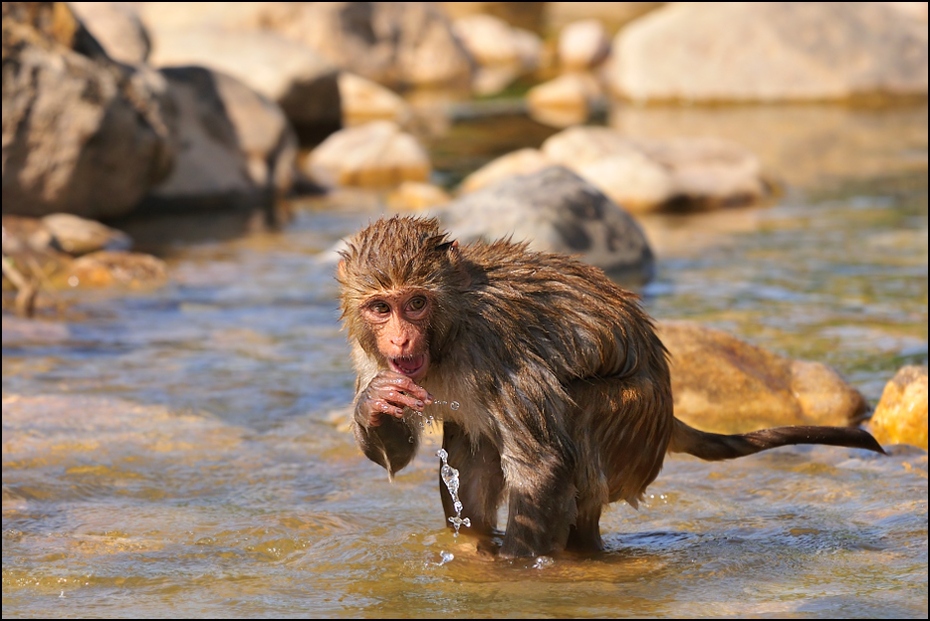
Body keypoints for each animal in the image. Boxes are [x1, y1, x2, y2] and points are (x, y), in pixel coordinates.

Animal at [336, 214, 884, 556]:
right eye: (381, 307)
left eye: (416, 303)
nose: (401, 338)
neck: (449, 332)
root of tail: (667, 409)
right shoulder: (371, 357)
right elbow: (395, 455)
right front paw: (374, 405)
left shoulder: (493, 349)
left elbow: (541, 466)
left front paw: (514, 574)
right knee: (471, 440)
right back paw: (475, 543)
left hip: (636, 422)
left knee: (574, 413)